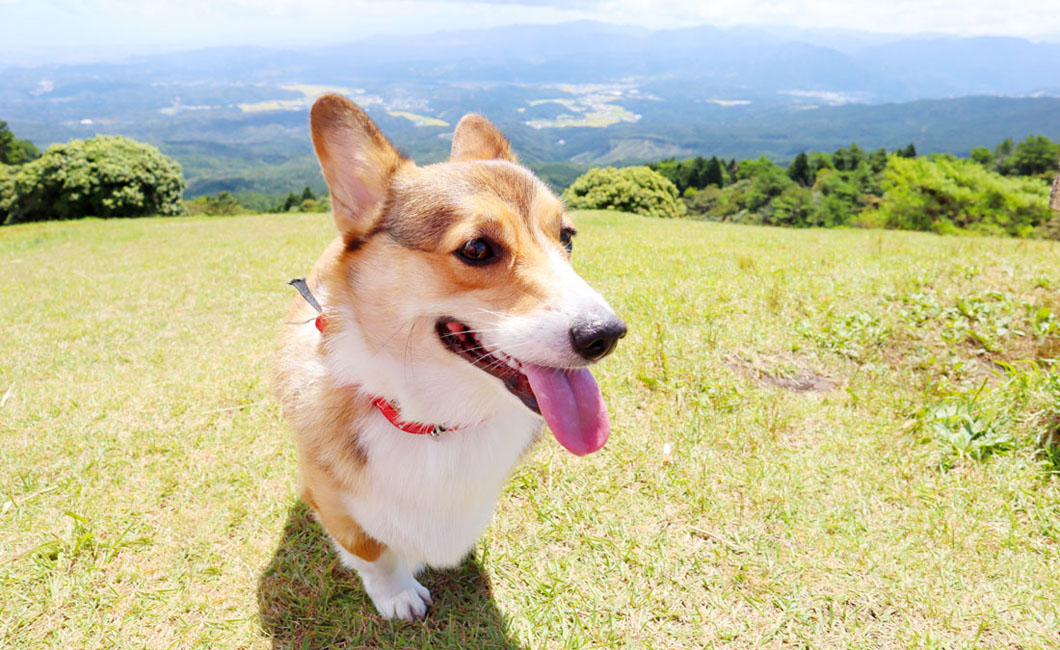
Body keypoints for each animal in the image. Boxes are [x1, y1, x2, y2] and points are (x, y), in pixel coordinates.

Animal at [275, 94, 627, 619]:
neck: (433, 420)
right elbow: (370, 549)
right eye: (477, 248)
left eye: (567, 237)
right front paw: (398, 594)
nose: (606, 335)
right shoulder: (331, 494)